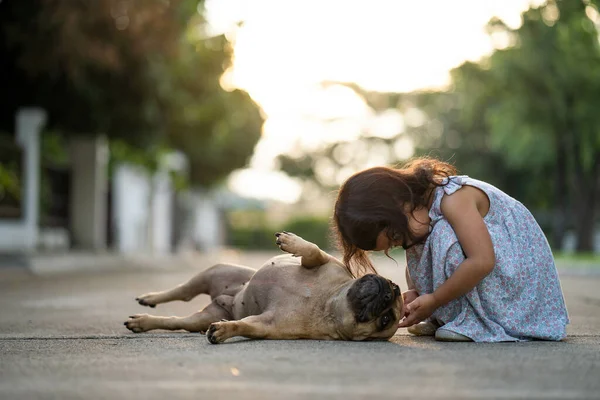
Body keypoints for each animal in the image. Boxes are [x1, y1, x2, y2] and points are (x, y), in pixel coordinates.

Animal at [123, 231, 404, 344]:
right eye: (395, 286)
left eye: (385, 319)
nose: (389, 291)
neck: (327, 302)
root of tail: (223, 298)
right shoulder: (325, 262)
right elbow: (312, 250)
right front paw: (291, 242)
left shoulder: (268, 325)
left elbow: (246, 325)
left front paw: (225, 330)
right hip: (216, 271)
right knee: (182, 290)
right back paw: (150, 298)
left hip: (201, 316)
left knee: (176, 319)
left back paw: (143, 320)